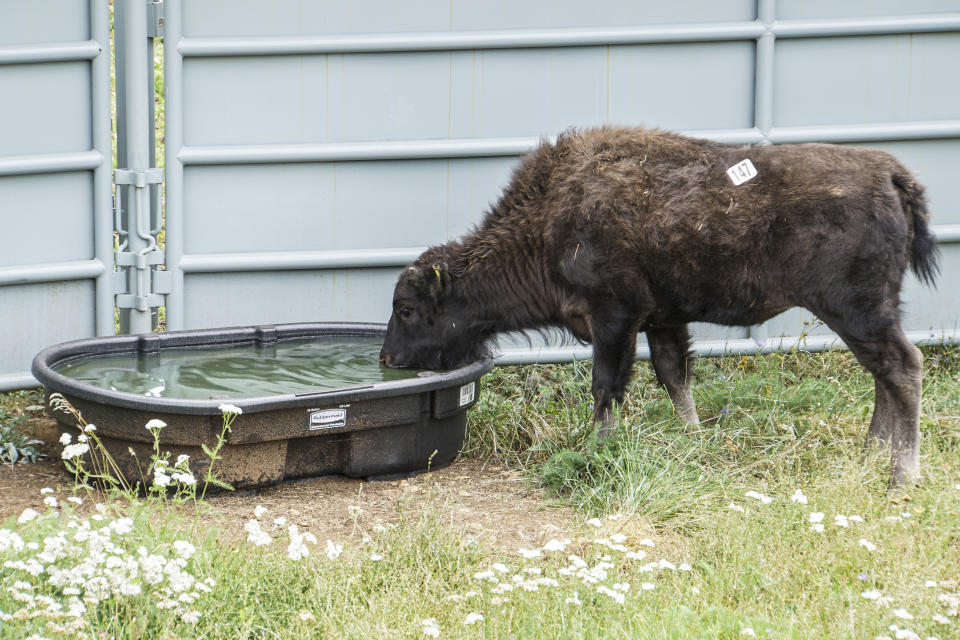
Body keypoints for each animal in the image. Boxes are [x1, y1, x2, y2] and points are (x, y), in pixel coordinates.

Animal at [376, 125, 936, 484]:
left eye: (406, 309)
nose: (387, 358)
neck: (551, 221)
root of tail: (891, 175)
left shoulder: (614, 318)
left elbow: (608, 387)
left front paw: (595, 448)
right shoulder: (664, 321)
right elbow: (675, 378)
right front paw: (692, 440)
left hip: (855, 309)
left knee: (902, 367)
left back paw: (901, 474)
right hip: (868, 313)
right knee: (884, 374)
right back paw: (871, 455)